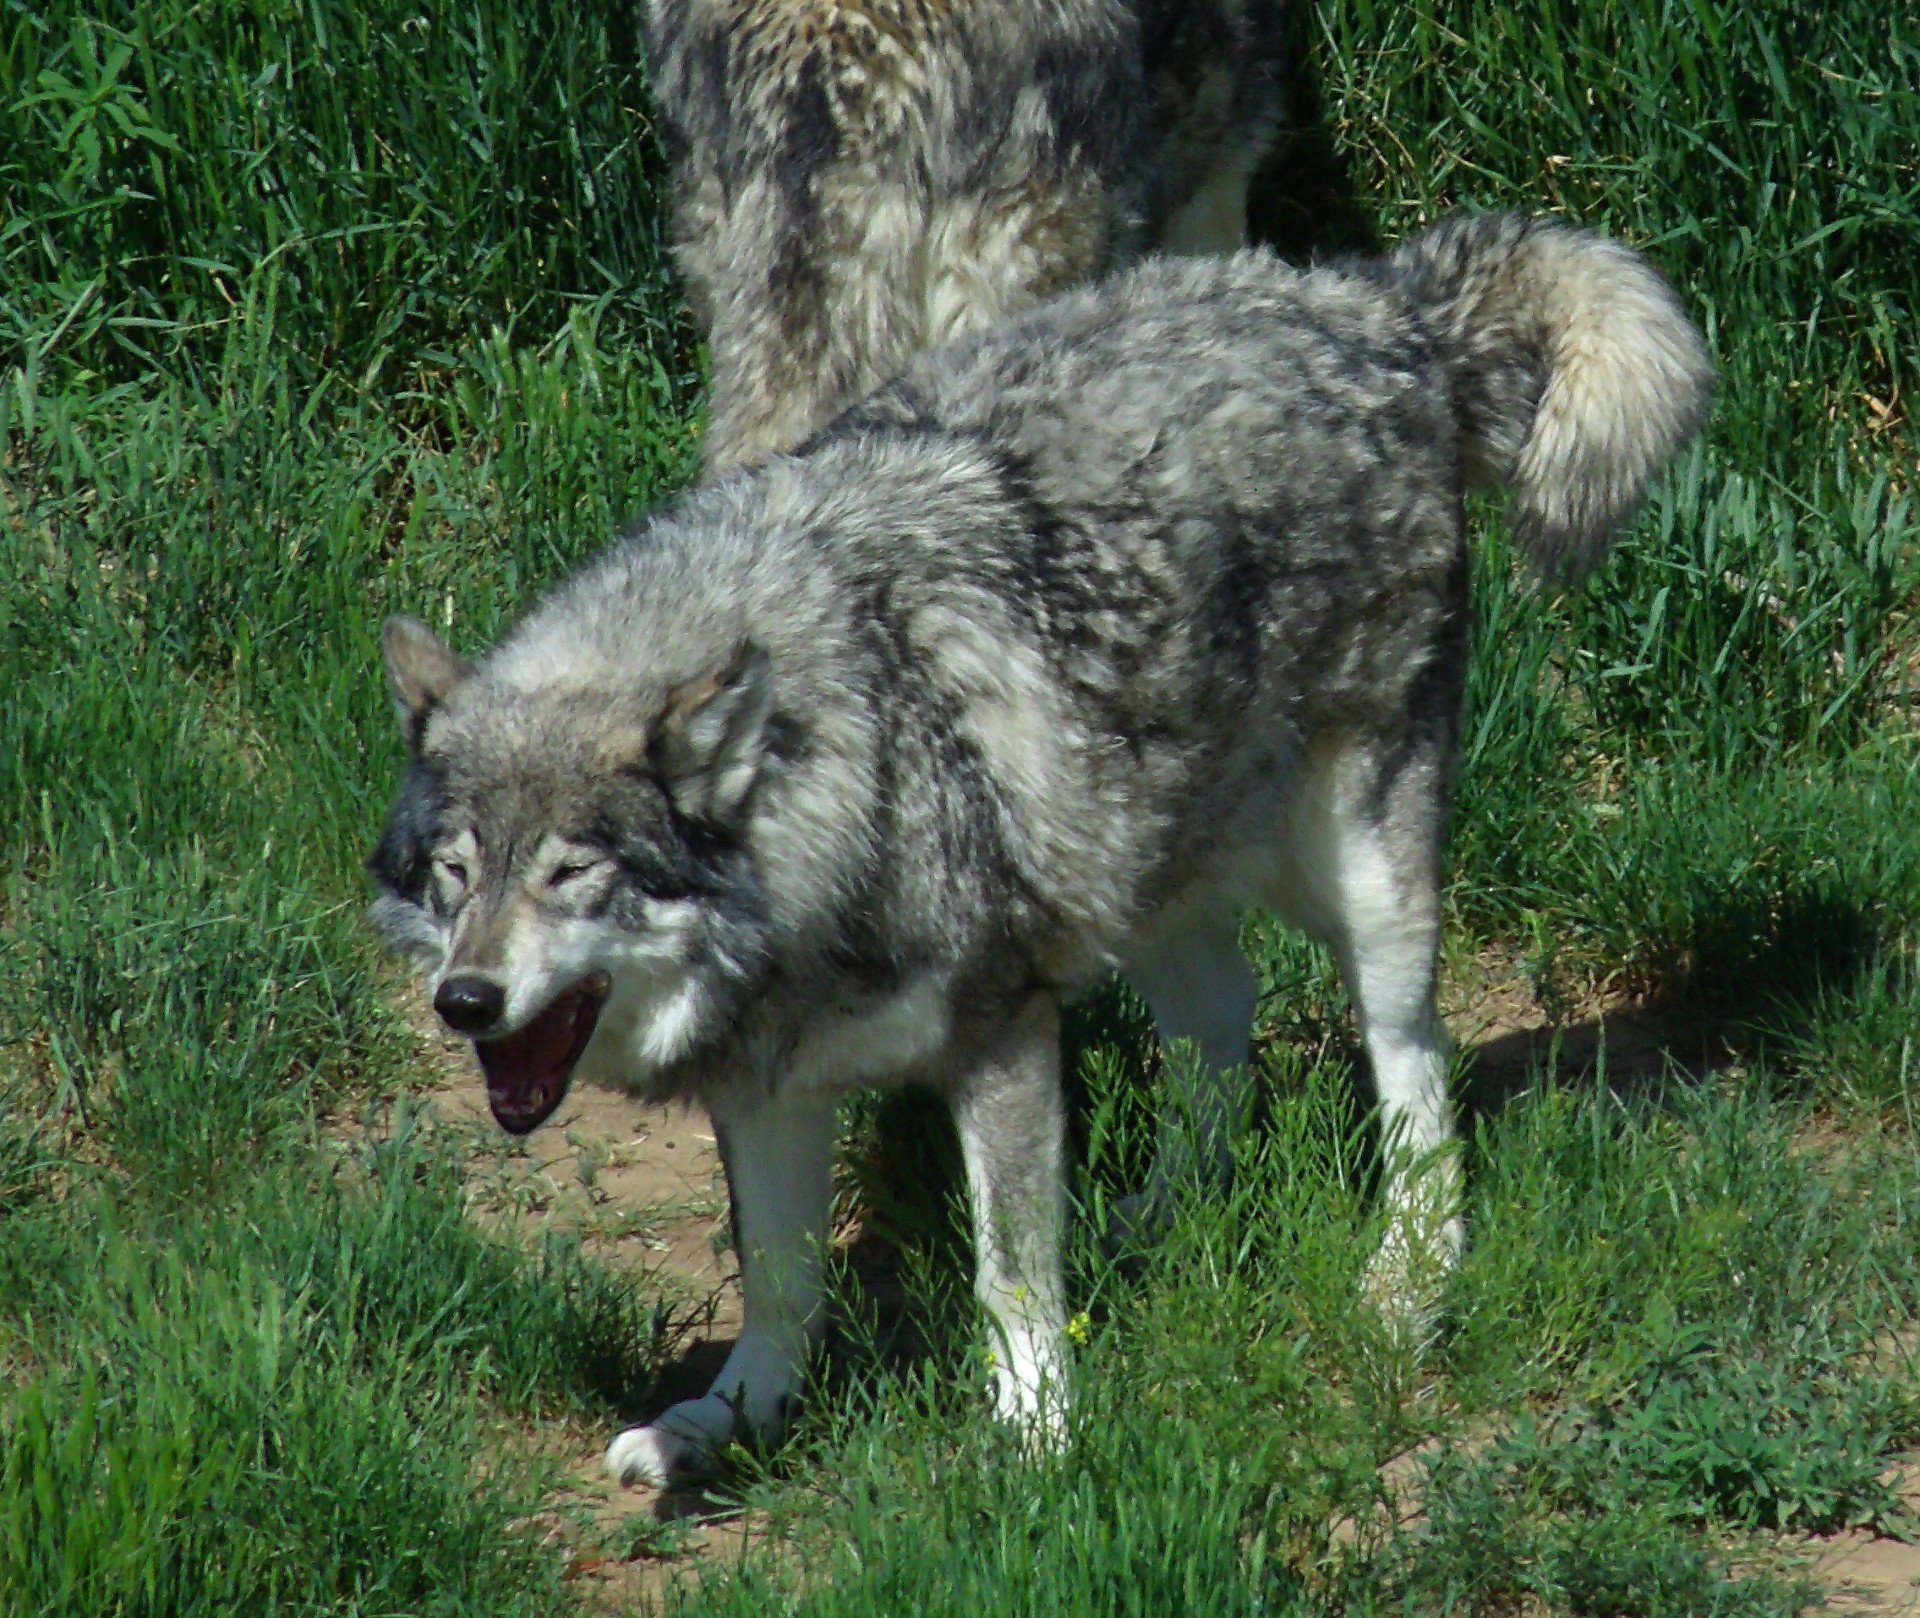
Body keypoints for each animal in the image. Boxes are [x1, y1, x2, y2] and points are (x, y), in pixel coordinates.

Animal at [362, 212, 1712, 1481]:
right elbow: (780, 1281)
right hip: (1134, 869)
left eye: (571, 872)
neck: (844, 779)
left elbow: (1007, 1270)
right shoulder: (764, 1084)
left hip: (1365, 882)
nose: (465, 1000)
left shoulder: (1000, 1034)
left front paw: (1037, 1435)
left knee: (1413, 1075)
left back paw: (1409, 1280)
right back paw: (1160, 1216)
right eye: (456, 874)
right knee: (1222, 1026)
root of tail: (1367, 302)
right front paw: (726, 1422)